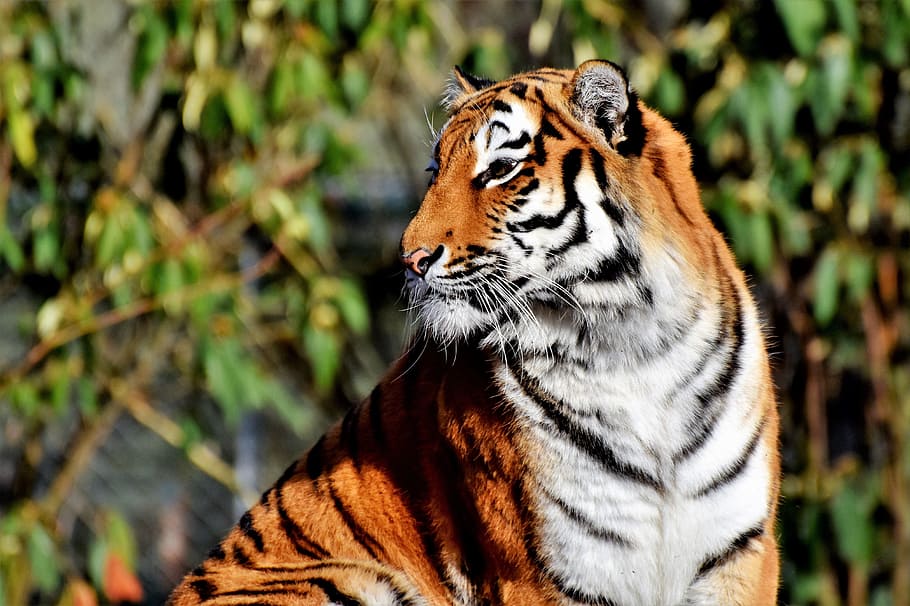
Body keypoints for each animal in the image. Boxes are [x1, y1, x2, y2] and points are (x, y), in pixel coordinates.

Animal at [169, 60, 780, 606]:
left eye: (500, 168)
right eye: (433, 169)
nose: (409, 258)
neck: (628, 343)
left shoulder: (743, 551)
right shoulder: (541, 571)